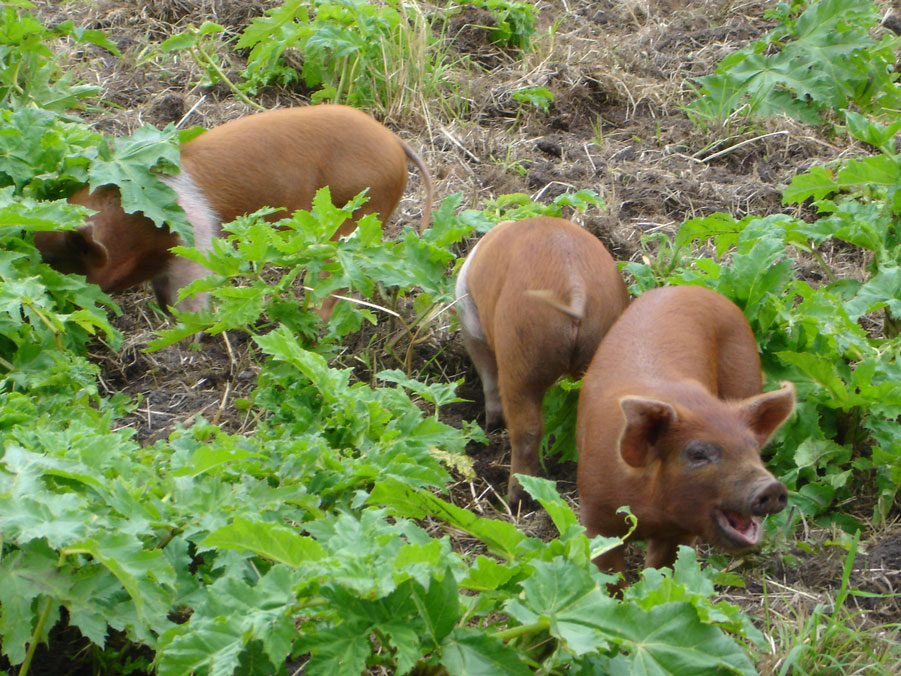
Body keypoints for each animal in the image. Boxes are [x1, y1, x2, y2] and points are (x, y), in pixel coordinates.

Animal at [37, 105, 438, 314]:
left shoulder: (196, 241)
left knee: (334, 280)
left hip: (355, 215)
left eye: (60, 261)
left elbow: (191, 292)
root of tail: (394, 141)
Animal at [454, 217, 628, 508]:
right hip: (605, 336)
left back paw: (516, 498)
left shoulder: (471, 325)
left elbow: (488, 377)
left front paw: (490, 426)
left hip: (521, 348)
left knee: (526, 429)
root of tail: (575, 286)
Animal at [572, 284, 792, 576]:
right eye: (697, 454)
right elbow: (608, 573)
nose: (771, 487)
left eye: (754, 448)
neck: (649, 512)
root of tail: (688, 287)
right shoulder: (596, 518)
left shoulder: (680, 531)